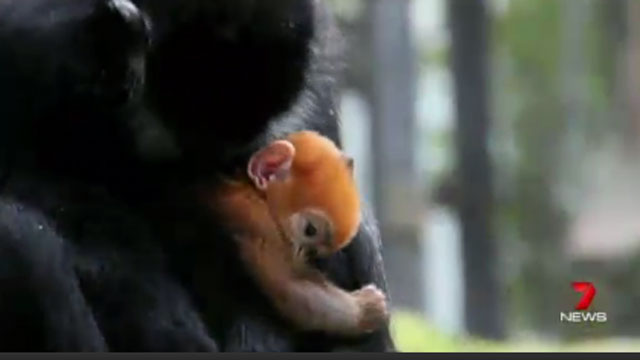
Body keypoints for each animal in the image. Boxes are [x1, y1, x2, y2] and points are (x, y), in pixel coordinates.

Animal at [210, 131, 390, 336]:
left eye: (317, 250)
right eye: (310, 230)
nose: (305, 251)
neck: (253, 193)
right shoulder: (258, 222)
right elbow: (289, 287)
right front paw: (366, 310)